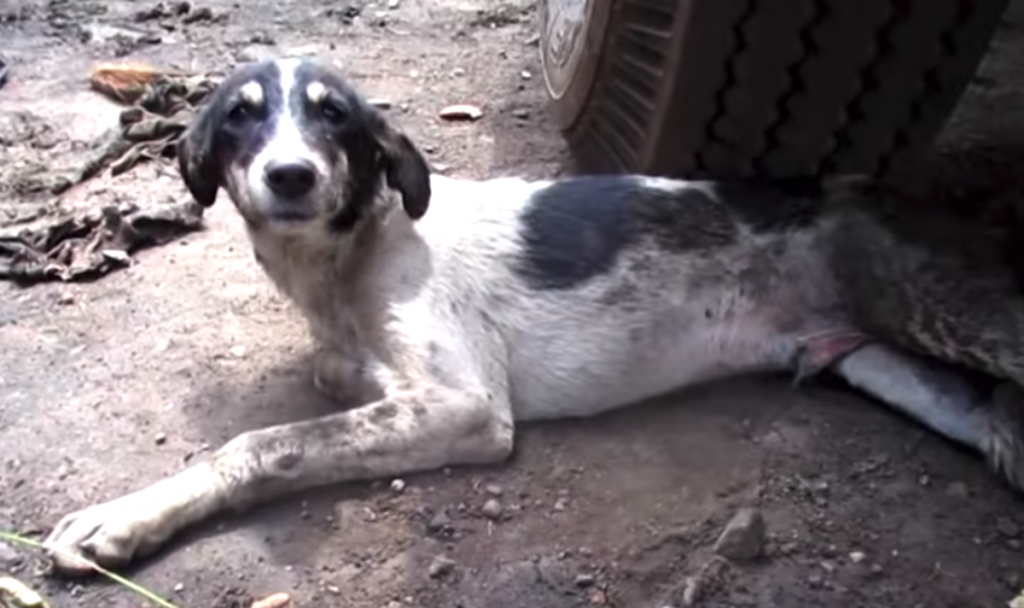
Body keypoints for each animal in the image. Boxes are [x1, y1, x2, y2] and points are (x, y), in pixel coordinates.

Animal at [44, 56, 1024, 573]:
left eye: (337, 121)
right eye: (243, 118)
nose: (291, 175)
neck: (350, 260)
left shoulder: (468, 407)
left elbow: (264, 442)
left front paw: (126, 516)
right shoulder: (367, 370)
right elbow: (329, 378)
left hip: (937, 307)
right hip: (878, 357)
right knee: (983, 416)